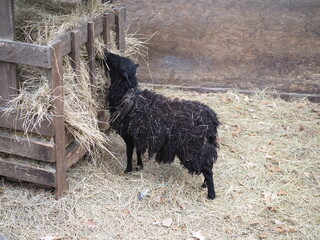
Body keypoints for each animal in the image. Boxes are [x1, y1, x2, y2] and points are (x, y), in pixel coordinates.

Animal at [105, 53, 220, 200]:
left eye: (117, 62)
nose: (106, 54)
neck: (125, 94)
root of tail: (211, 119)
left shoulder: (128, 136)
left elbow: (129, 152)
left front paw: (128, 170)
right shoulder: (139, 135)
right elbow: (138, 151)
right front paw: (139, 166)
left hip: (192, 148)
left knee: (207, 169)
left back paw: (210, 194)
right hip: (205, 145)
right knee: (209, 163)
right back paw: (204, 185)